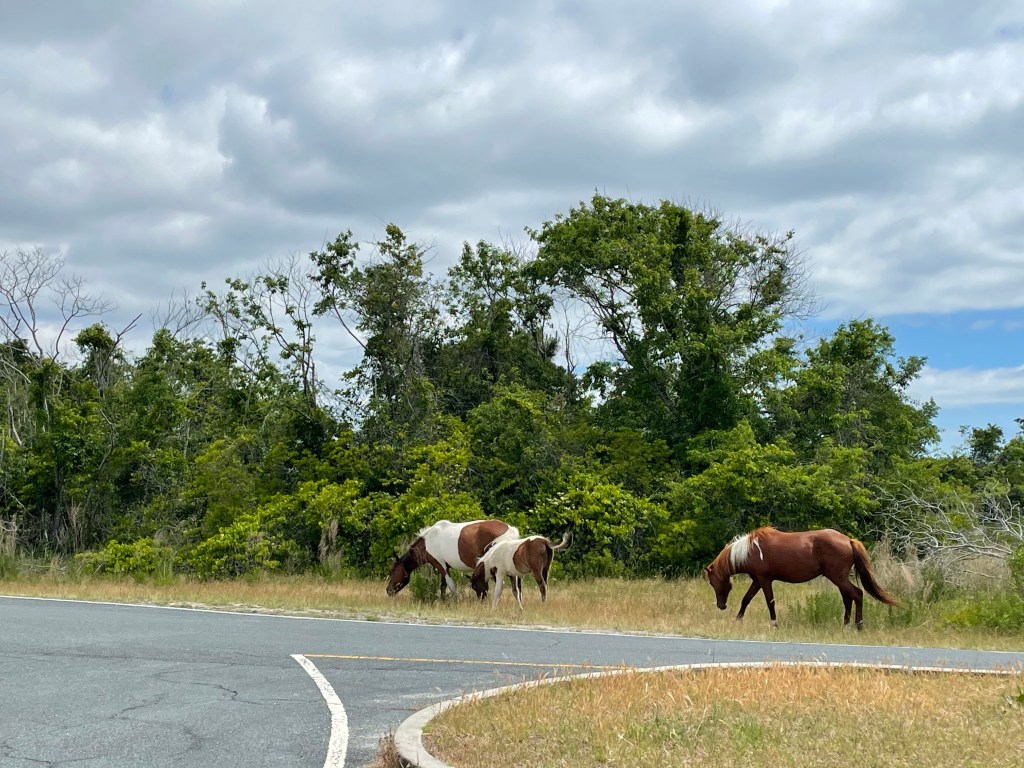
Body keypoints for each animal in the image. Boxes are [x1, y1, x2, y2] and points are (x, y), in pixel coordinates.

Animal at [386, 519, 519, 599]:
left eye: (391, 571)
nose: (388, 590)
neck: (428, 541)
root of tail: (511, 530)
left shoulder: (441, 565)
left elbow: (450, 585)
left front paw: (454, 601)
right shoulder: (445, 566)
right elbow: (443, 585)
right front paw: (443, 601)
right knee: (516, 587)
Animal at [704, 527, 898, 630]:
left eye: (713, 583)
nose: (721, 606)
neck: (751, 550)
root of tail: (849, 540)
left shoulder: (764, 580)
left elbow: (770, 601)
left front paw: (774, 623)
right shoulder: (757, 580)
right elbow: (746, 599)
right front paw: (738, 619)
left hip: (838, 577)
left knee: (857, 594)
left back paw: (858, 625)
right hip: (839, 579)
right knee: (848, 597)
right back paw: (845, 624)